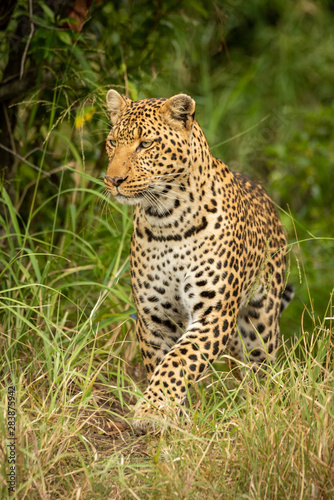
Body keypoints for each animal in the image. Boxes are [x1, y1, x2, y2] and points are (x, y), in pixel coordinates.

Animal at [103, 89, 292, 430]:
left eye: (145, 144)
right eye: (113, 142)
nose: (113, 180)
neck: (167, 218)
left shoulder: (214, 313)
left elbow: (179, 360)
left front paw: (152, 410)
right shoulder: (155, 316)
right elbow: (161, 362)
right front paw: (170, 414)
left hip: (262, 321)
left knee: (262, 366)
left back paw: (262, 406)